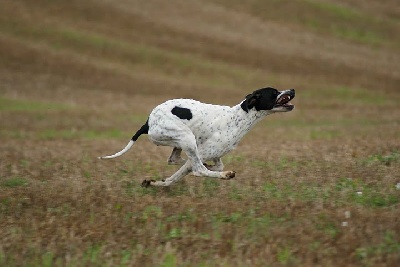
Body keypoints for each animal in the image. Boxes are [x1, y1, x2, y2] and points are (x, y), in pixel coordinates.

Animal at [99, 87, 296, 187]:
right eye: (274, 92)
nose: (292, 89)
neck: (239, 117)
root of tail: (148, 122)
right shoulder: (203, 152)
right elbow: (191, 171)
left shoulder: (213, 154)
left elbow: (210, 165)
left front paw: (154, 182)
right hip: (186, 137)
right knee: (197, 168)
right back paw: (222, 174)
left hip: (182, 142)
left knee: (175, 159)